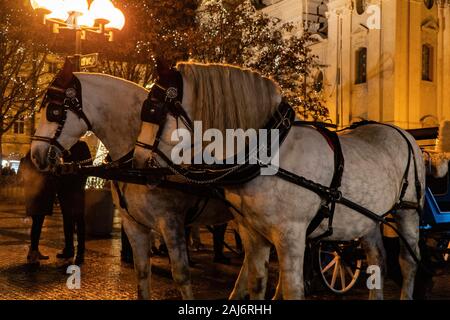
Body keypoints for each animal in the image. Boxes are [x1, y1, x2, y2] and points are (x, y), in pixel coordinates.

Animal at [28, 66, 253, 298]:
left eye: (53, 110)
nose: (35, 154)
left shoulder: (172, 222)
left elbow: (182, 276)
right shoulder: (133, 224)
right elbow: (143, 273)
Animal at [133, 62, 426, 300]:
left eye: (155, 110)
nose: (137, 162)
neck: (270, 152)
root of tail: (402, 133)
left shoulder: (291, 235)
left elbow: (292, 289)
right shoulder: (252, 233)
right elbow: (257, 283)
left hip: (408, 212)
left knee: (409, 263)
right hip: (369, 218)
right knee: (377, 260)